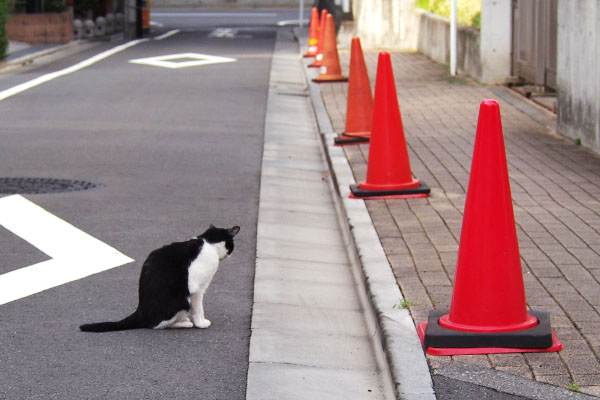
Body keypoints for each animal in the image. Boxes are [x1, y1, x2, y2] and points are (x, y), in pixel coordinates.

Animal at [79, 225, 239, 332]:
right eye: (231, 245)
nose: (230, 254)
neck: (208, 242)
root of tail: (140, 310)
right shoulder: (197, 289)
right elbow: (198, 309)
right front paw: (201, 323)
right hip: (181, 301)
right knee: (156, 325)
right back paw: (184, 322)